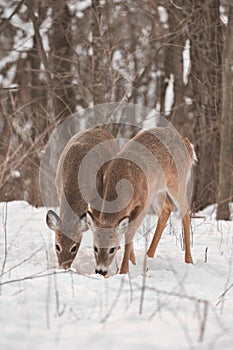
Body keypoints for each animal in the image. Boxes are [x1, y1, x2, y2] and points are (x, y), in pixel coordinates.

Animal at [86, 126, 198, 276]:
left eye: (112, 249)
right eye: (95, 247)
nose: (100, 271)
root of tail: (187, 143)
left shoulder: (143, 203)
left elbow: (129, 232)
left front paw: (124, 270)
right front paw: (132, 261)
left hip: (177, 181)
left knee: (185, 211)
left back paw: (188, 259)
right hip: (157, 190)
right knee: (166, 209)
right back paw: (149, 254)